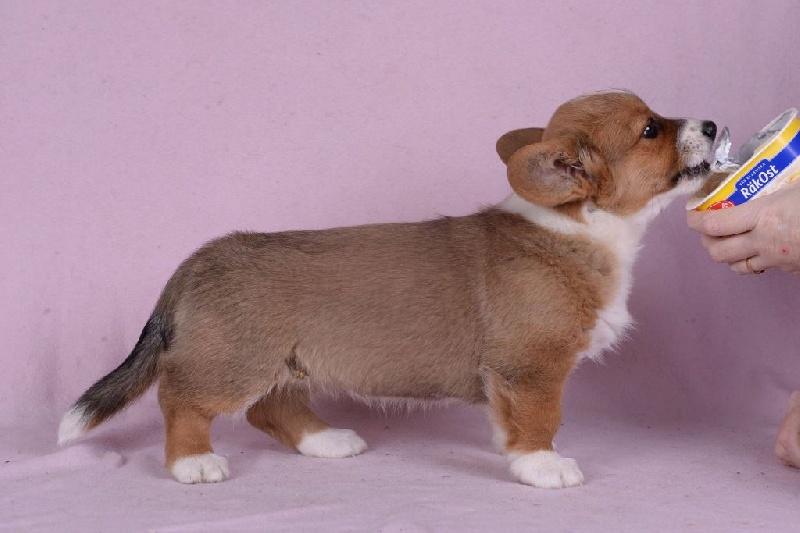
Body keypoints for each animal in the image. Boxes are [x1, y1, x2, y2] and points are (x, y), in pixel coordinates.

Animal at [58, 90, 716, 488]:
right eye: (650, 130)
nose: (712, 123)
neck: (577, 225)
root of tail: (194, 264)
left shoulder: (509, 376)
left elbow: (507, 419)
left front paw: (510, 450)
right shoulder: (534, 368)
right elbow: (539, 420)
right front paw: (542, 466)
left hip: (287, 364)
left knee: (272, 408)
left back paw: (326, 441)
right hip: (234, 363)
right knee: (182, 399)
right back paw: (193, 462)